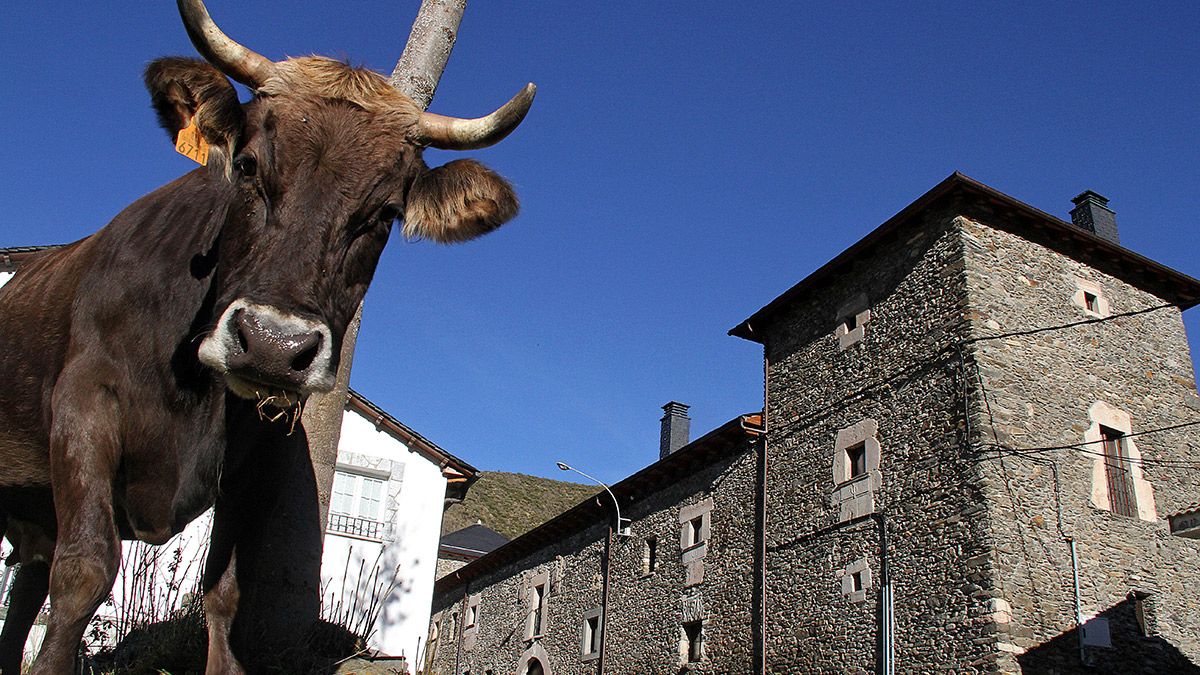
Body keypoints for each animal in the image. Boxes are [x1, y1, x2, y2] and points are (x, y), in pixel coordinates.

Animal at [0, 2, 535, 667]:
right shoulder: (83, 400)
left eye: (385, 215)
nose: (274, 345)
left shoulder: (252, 460)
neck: (192, 389)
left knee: (25, 587)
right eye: (248, 166)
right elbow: (84, 571)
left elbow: (225, 596)